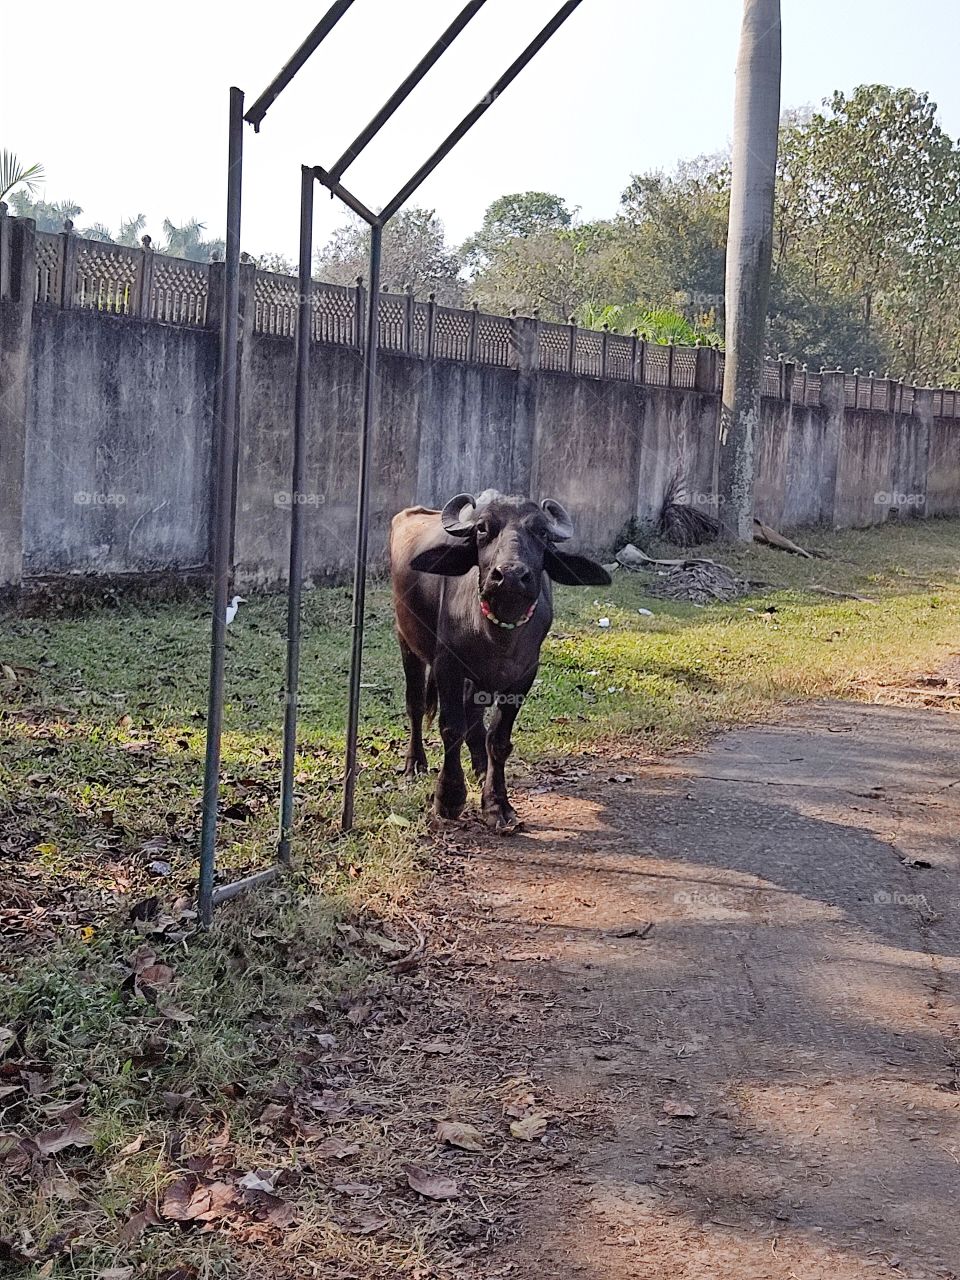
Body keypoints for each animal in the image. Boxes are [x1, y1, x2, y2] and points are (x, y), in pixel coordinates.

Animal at [389, 490, 611, 832]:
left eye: (542, 532)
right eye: (483, 528)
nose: (510, 576)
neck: (497, 634)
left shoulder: (523, 675)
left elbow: (499, 739)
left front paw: (497, 804)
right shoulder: (447, 665)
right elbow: (451, 727)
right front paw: (449, 798)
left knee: (473, 715)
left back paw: (481, 767)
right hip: (407, 642)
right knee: (415, 704)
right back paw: (415, 764)